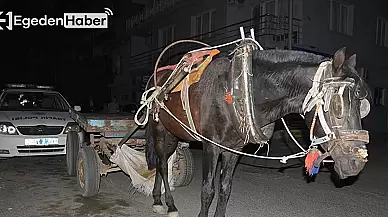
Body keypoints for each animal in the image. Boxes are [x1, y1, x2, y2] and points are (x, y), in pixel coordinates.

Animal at [143, 47, 370, 217]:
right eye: (338, 106)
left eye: (363, 107)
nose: (356, 163)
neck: (237, 90)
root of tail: (156, 78)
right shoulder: (211, 146)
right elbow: (208, 190)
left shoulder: (233, 149)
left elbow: (225, 189)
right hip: (160, 131)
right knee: (162, 165)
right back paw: (168, 204)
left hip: (173, 134)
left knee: (163, 163)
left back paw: (158, 199)